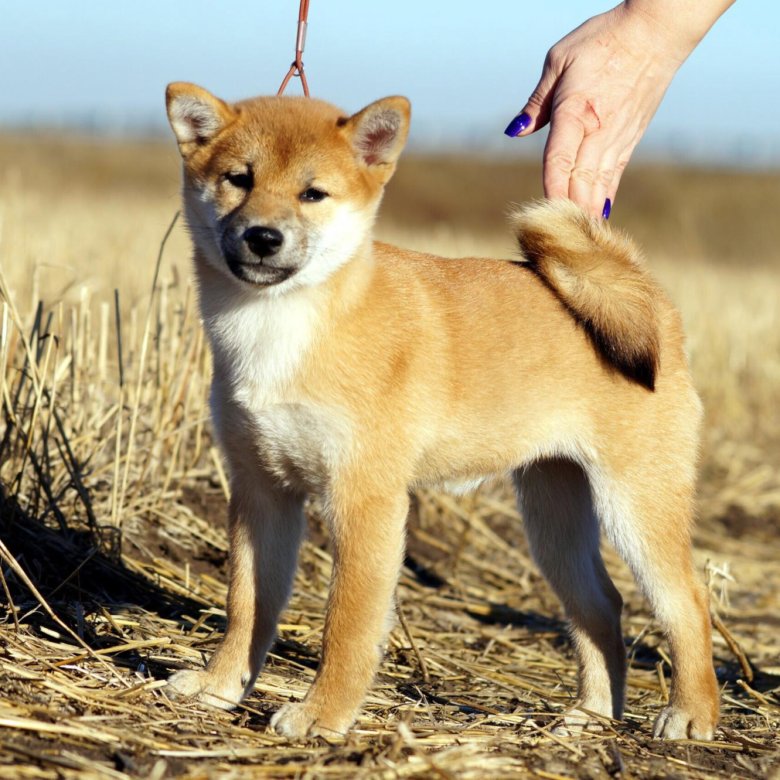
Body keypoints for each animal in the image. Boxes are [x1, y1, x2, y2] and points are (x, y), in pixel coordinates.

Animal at [163, 82, 720, 740]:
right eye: (239, 179)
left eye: (312, 193)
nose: (262, 237)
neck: (279, 329)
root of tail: (651, 303)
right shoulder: (260, 491)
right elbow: (245, 608)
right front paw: (219, 687)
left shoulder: (364, 500)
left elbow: (346, 625)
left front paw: (323, 715)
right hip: (553, 519)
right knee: (601, 607)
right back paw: (590, 714)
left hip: (635, 504)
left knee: (687, 603)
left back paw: (691, 714)